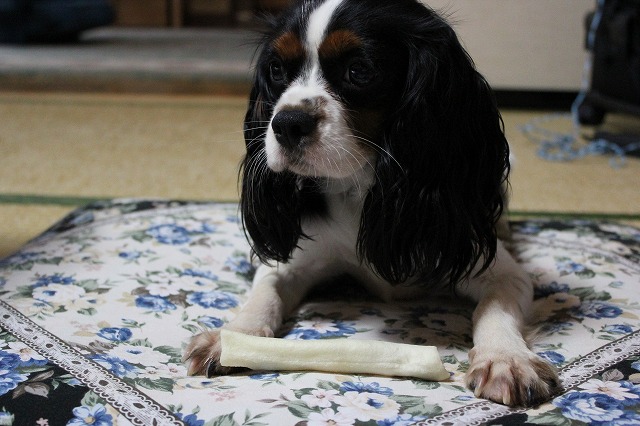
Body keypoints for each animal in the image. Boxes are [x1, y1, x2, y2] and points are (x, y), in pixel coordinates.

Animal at [185, 0, 560, 407]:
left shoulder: (494, 268)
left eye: (359, 71)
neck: (357, 186)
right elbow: (264, 295)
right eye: (276, 69)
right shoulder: (293, 263)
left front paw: (505, 359)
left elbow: (493, 308)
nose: (286, 123)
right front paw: (232, 337)